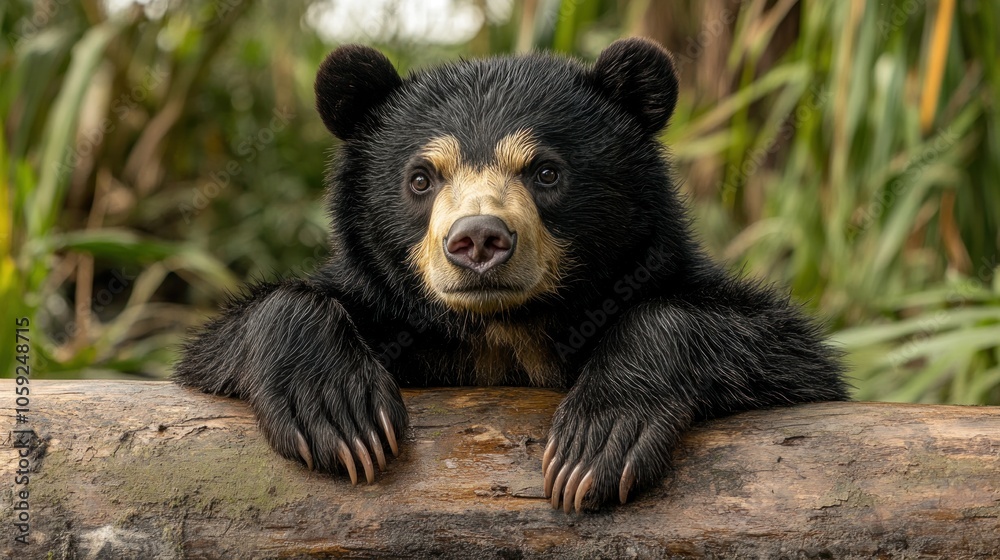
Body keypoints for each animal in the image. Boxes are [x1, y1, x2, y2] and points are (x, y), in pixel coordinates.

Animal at [173, 37, 848, 512]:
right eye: (422, 177)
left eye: (545, 172)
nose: (477, 240)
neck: (502, 327)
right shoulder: (383, 304)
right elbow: (218, 346)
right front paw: (341, 417)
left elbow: (786, 352)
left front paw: (593, 447)